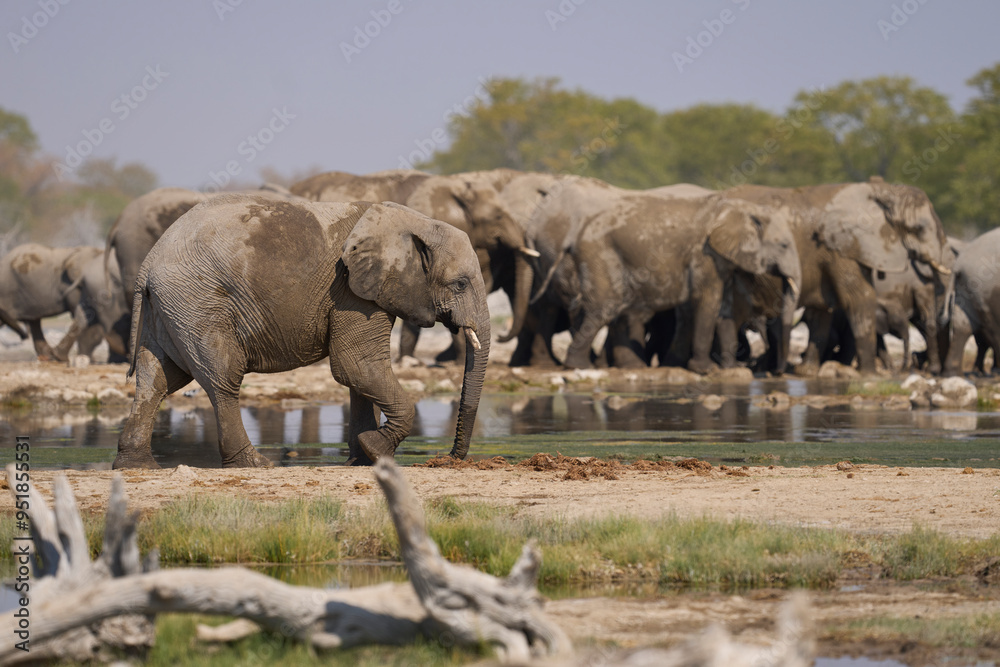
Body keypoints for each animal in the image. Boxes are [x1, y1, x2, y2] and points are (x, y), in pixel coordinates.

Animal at [113, 194, 490, 469]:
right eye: (459, 284)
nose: (451, 459)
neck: (414, 222)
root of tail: (149, 262)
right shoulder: (351, 291)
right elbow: (356, 366)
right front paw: (374, 450)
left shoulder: (368, 290)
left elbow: (359, 376)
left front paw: (362, 459)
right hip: (198, 303)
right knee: (222, 376)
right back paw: (254, 464)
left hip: (169, 309)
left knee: (156, 379)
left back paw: (137, 466)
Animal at [521, 177, 801, 372]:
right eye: (784, 245)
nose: (777, 372)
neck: (745, 209)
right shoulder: (705, 254)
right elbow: (708, 301)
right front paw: (705, 370)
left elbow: (722, 306)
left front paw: (728, 370)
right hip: (600, 252)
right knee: (606, 305)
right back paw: (580, 366)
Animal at [723, 179, 951, 374]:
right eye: (919, 229)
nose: (931, 370)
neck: (883, 190)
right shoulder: (840, 248)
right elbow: (860, 297)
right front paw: (870, 375)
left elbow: (823, 309)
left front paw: (807, 372)